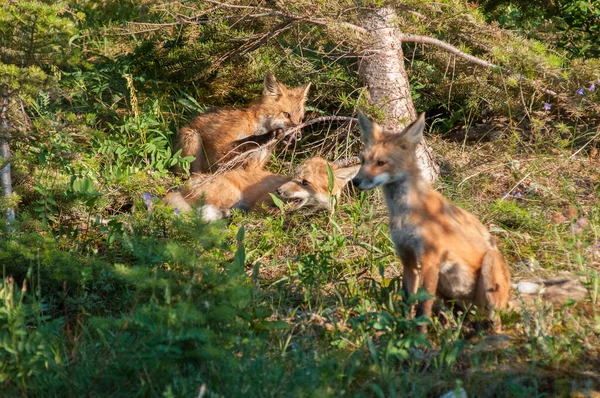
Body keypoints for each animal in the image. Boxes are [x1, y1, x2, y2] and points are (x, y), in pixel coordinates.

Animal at [164, 155, 358, 222]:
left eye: (304, 182)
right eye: (293, 177)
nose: (278, 191)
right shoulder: (259, 205)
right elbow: (278, 213)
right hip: (230, 197)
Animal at [177, 73, 310, 173]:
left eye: (300, 120)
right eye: (286, 115)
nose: (299, 135)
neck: (255, 126)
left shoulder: (254, 165)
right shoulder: (220, 153)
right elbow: (246, 141)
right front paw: (268, 135)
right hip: (192, 137)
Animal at [352, 112, 510, 332]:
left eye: (381, 162)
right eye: (362, 160)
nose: (355, 182)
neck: (405, 213)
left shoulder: (430, 260)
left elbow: (423, 307)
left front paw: (419, 336)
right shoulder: (407, 259)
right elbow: (407, 302)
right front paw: (403, 333)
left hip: (488, 271)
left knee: (495, 323)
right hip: (448, 291)